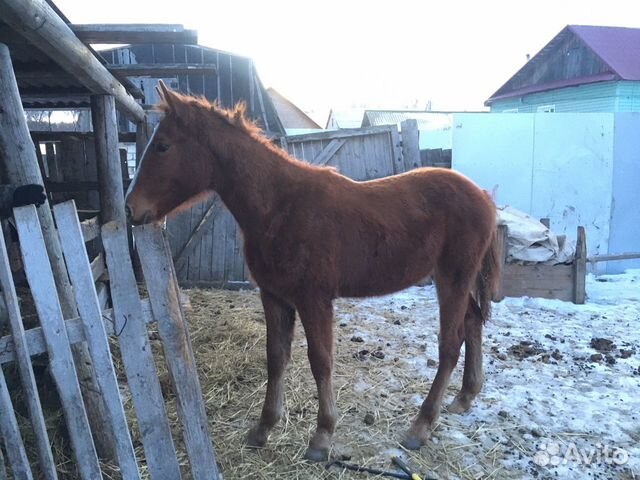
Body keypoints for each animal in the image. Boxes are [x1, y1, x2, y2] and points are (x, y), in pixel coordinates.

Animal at [125, 81, 500, 462]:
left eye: (163, 145)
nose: (130, 209)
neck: (279, 207)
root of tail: (484, 197)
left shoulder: (313, 299)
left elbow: (320, 361)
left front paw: (322, 436)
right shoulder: (274, 296)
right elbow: (276, 358)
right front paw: (263, 428)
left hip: (453, 277)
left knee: (450, 343)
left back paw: (420, 426)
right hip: (454, 279)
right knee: (472, 322)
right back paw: (465, 397)